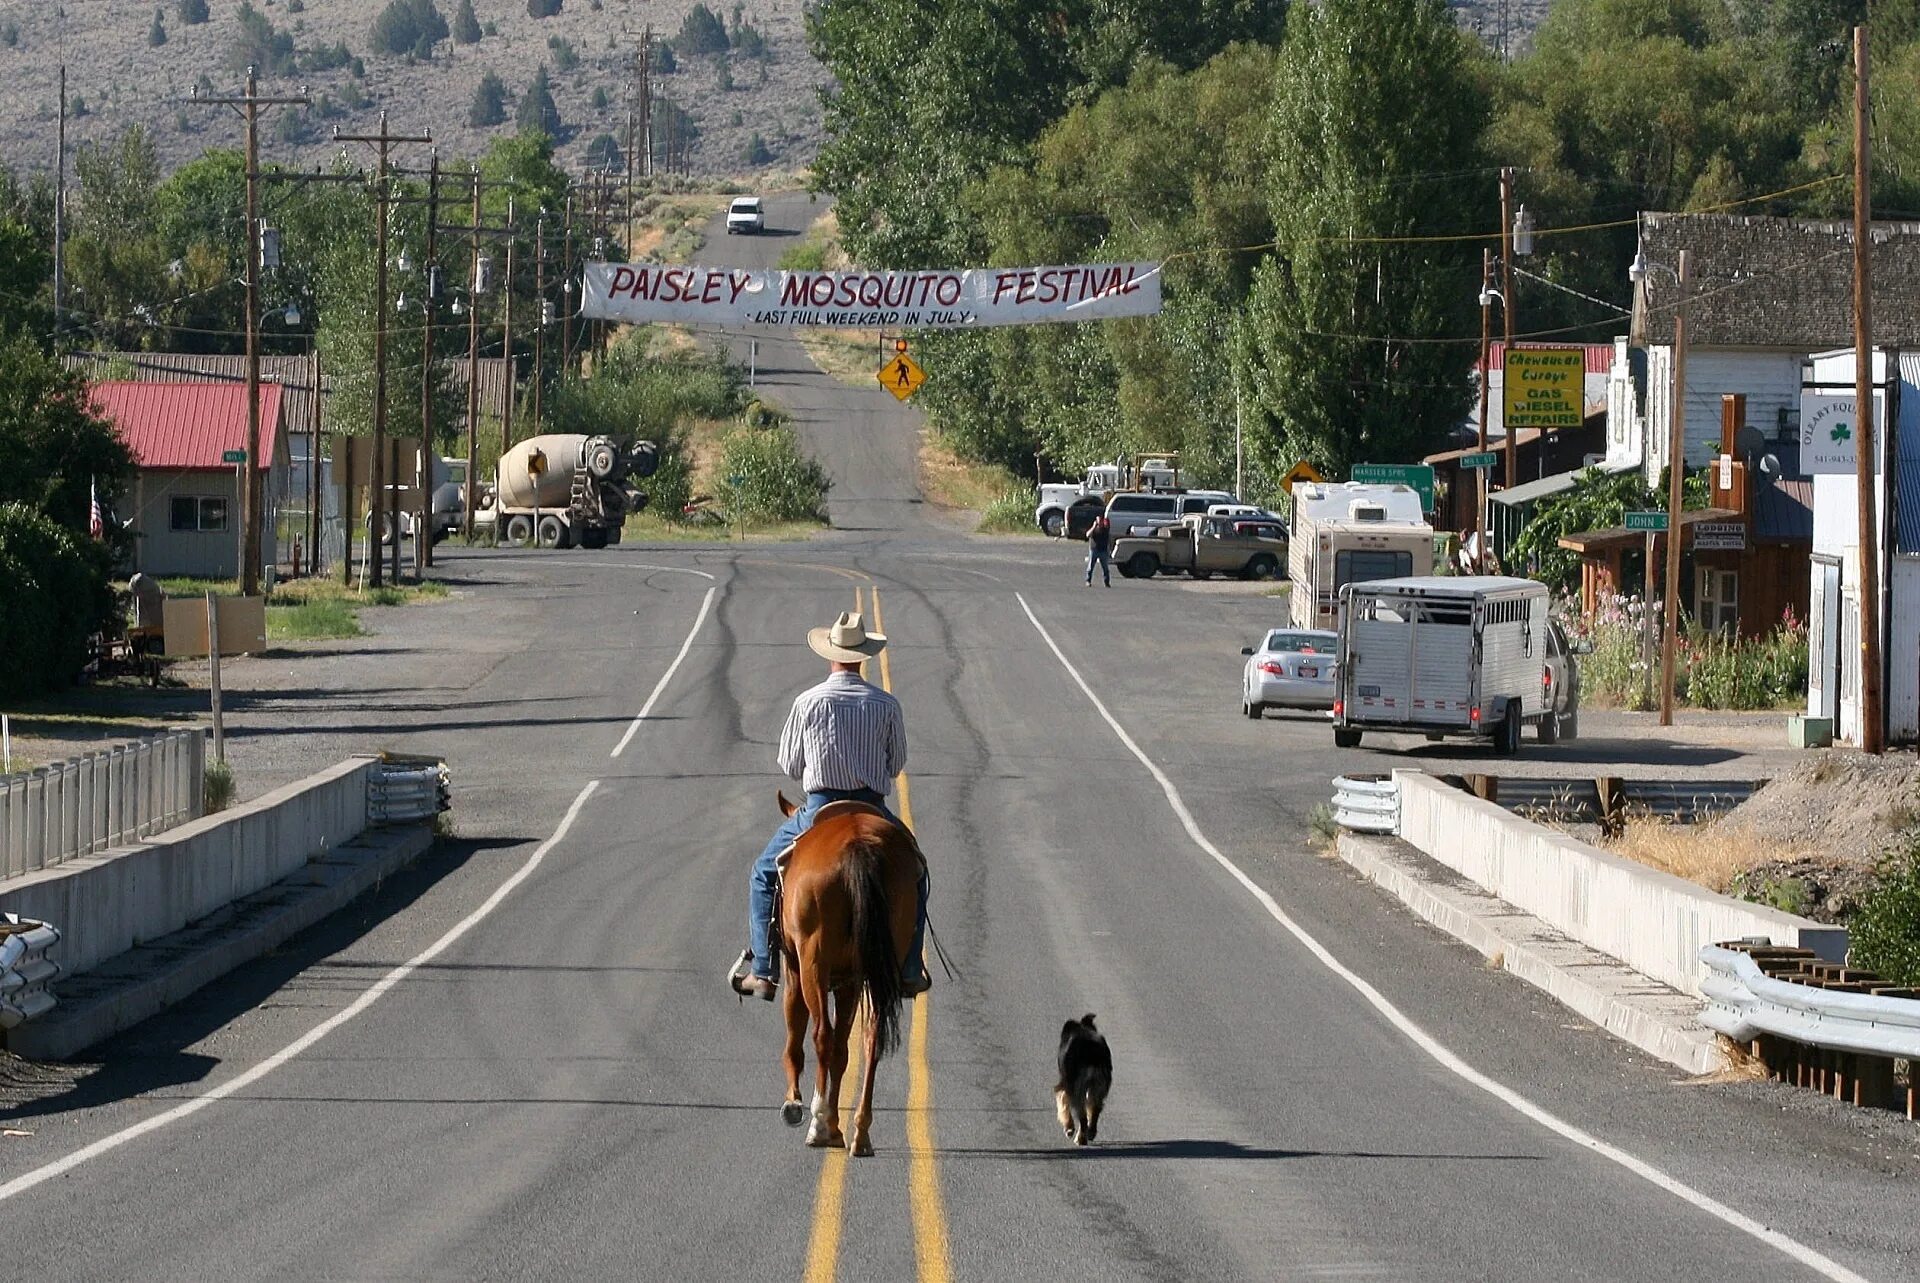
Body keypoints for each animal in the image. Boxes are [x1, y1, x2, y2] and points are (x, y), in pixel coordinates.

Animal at [779, 791, 929, 1152]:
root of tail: (858, 846)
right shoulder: (850, 982)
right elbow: (843, 1051)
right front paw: (836, 1125)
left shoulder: (795, 970)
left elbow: (798, 1032)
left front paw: (795, 1104)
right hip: (878, 967)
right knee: (870, 1038)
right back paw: (860, 1132)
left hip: (813, 964)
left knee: (821, 1034)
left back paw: (818, 1125)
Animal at [1059, 1014, 1121, 1144]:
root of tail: (1092, 1051)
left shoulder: (1066, 1084)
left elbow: (1063, 1101)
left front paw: (1069, 1129)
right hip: (1099, 1085)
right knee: (1095, 1109)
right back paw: (1091, 1133)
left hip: (1078, 1088)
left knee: (1082, 1115)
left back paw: (1081, 1138)